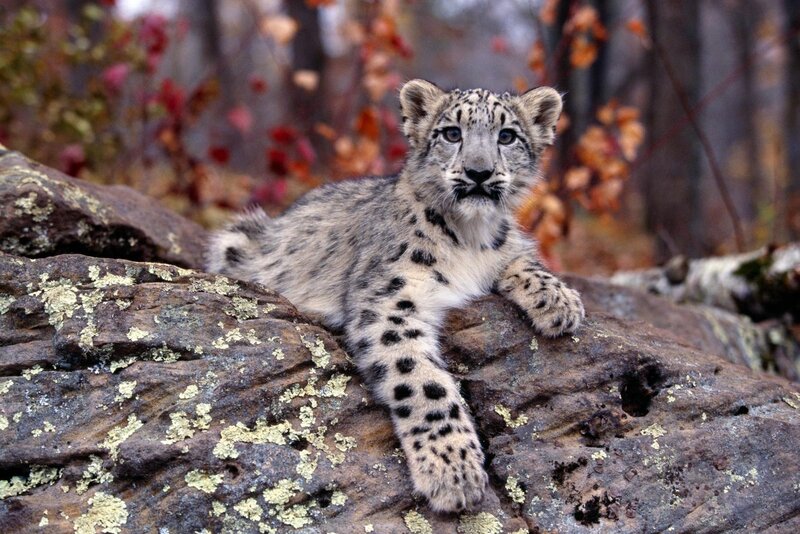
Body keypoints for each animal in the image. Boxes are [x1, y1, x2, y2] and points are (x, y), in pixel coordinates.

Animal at [206, 79, 585, 513]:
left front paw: (561, 302)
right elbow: (423, 383)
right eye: (451, 133)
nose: (479, 172)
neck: (469, 238)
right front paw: (453, 470)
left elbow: (522, 257)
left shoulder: (505, 248)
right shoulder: (389, 301)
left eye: (507, 136)